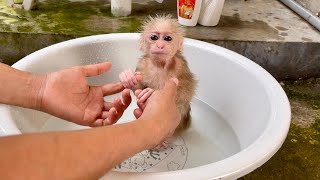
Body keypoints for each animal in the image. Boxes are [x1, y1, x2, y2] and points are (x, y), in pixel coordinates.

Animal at [119, 14, 196, 149]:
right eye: (154, 37)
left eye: (167, 38)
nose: (160, 45)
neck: (160, 65)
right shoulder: (143, 64)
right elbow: (138, 88)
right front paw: (128, 78)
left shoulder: (180, 65)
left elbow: (187, 93)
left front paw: (151, 93)